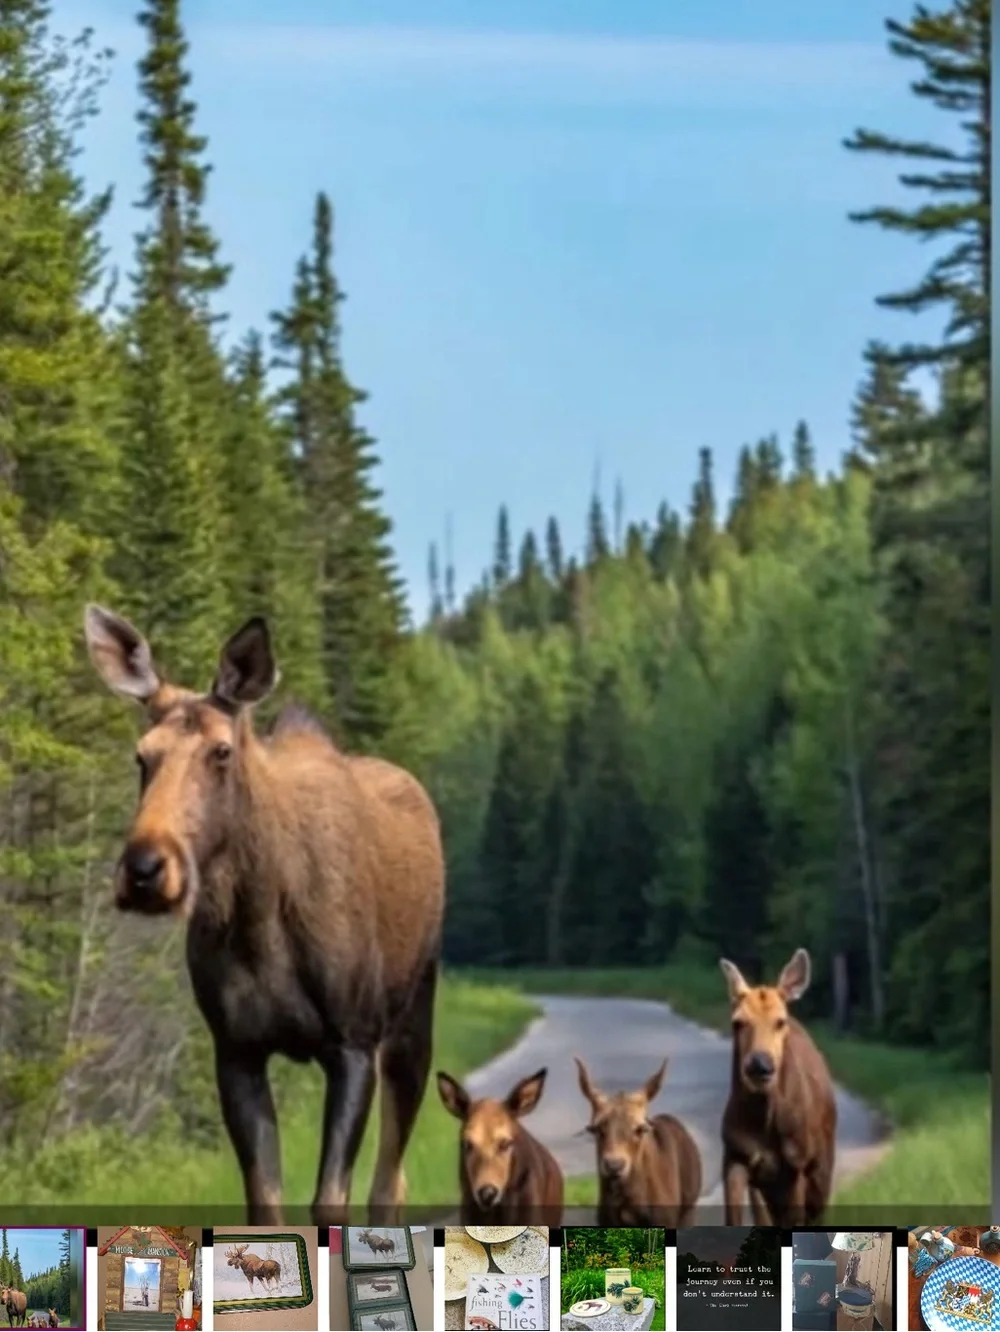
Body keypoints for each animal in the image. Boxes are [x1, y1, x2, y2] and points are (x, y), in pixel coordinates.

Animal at [84, 606, 446, 1225]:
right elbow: (266, 1207)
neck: (259, 921)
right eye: (142, 755)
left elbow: (330, 1204)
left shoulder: (352, 1043)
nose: (145, 869)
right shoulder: (237, 1051)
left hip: (412, 1019)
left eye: (221, 752)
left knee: (388, 1183)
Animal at [719, 947, 837, 1226]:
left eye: (780, 1021)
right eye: (737, 1022)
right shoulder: (734, 1156)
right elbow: (733, 1218)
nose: (760, 1065)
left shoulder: (797, 1164)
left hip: (821, 1166)